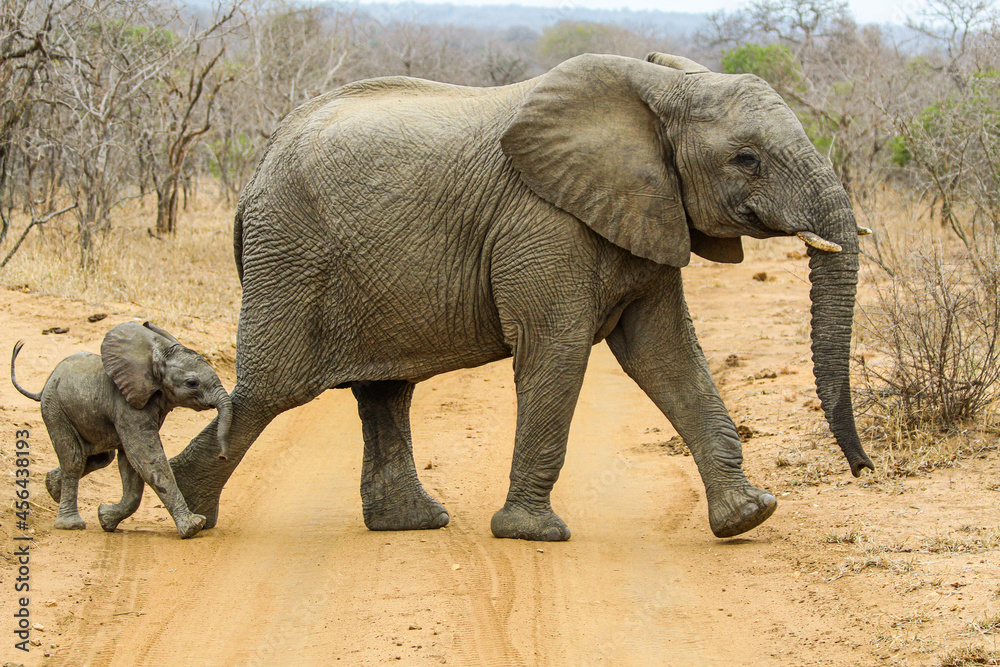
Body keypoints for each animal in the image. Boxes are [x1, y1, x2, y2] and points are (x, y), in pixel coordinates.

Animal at [11, 321, 232, 538]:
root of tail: (44, 387)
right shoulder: (128, 406)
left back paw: (53, 488)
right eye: (192, 383)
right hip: (55, 408)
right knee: (74, 460)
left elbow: (131, 464)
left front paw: (106, 519)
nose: (222, 456)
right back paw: (71, 524)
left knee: (99, 458)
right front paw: (194, 526)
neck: (155, 358)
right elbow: (146, 458)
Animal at [167, 51, 873, 541]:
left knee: (385, 392)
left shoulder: (646, 211)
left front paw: (748, 517)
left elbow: (667, 355)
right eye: (746, 160)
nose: (864, 471)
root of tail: (255, 172)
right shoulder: (543, 221)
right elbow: (556, 350)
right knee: (270, 390)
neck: (657, 91)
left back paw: (412, 523)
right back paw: (188, 514)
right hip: (291, 255)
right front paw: (533, 534)